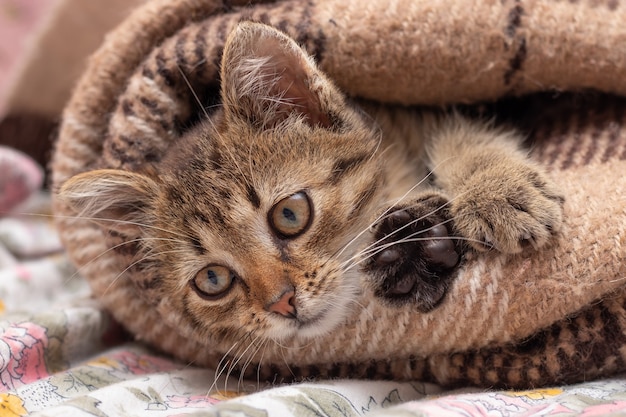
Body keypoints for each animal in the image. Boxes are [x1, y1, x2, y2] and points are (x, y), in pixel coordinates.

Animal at [58, 21, 564, 342]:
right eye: (212, 279)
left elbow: (460, 134)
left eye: (289, 214)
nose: (282, 304)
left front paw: (498, 193)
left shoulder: (427, 114)